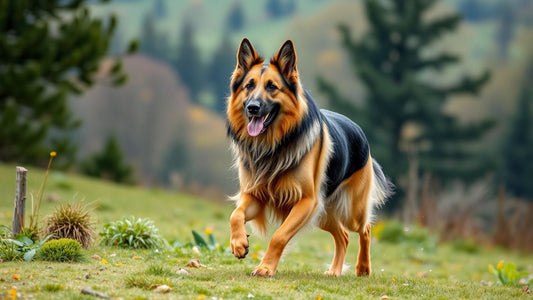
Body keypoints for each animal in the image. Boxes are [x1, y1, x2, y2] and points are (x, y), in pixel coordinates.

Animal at [224, 38, 390, 278]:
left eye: (272, 87)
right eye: (249, 86)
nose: (252, 108)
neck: (273, 145)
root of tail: (359, 130)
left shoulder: (306, 201)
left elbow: (279, 236)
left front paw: (265, 267)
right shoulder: (255, 195)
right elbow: (235, 215)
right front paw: (238, 244)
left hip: (351, 211)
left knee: (365, 228)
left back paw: (363, 267)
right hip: (324, 213)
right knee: (343, 236)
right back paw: (335, 271)